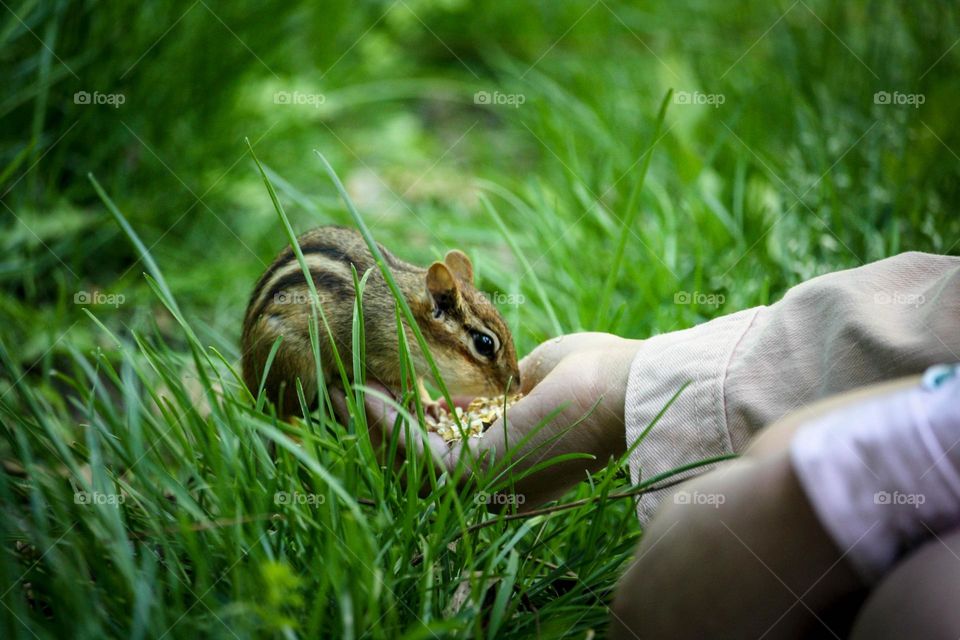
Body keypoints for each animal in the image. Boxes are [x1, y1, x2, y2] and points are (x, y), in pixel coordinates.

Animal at [241, 225, 521, 417]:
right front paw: (411, 399)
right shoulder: (374, 352)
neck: (405, 317)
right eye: (484, 344)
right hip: (291, 362)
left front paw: (428, 403)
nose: (516, 386)